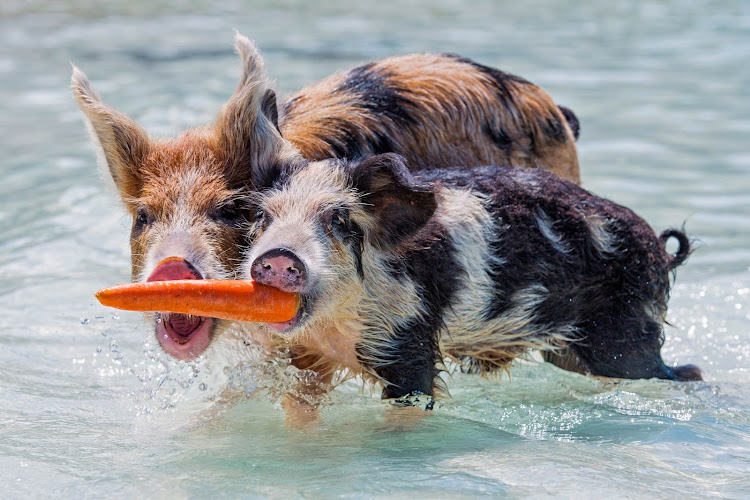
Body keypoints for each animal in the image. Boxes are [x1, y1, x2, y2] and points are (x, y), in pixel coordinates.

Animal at [242, 153, 704, 398]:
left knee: (671, 370)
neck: (335, 327)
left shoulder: (408, 325)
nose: (279, 257)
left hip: (626, 331)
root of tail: (659, 250)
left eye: (338, 220)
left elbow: (415, 389)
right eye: (264, 217)